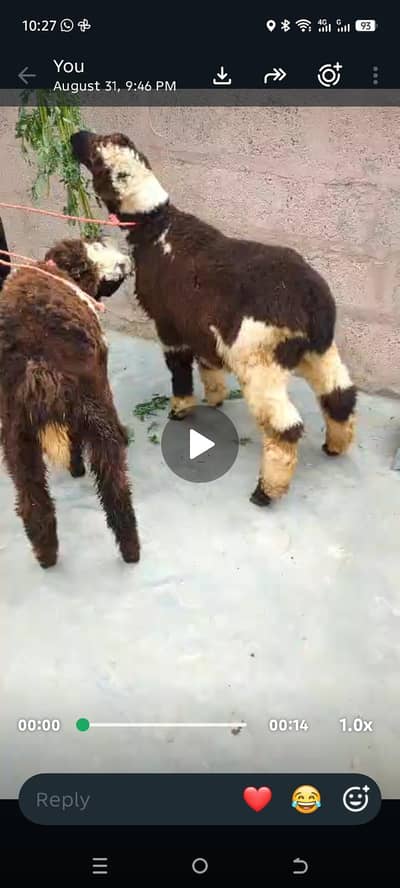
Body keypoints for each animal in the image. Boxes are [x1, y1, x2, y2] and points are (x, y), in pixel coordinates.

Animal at [0, 237, 140, 567]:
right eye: (100, 248)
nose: (127, 258)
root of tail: (36, 363)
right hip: (96, 413)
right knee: (115, 489)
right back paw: (132, 550)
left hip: (17, 436)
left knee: (32, 502)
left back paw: (46, 555)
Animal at [71, 130, 357, 506]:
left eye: (95, 153)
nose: (75, 136)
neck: (156, 226)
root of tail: (311, 303)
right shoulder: (198, 324)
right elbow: (207, 363)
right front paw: (215, 398)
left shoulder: (168, 320)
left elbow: (179, 366)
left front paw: (180, 409)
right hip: (320, 349)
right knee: (340, 394)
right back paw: (335, 446)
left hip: (259, 358)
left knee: (284, 426)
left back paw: (266, 491)